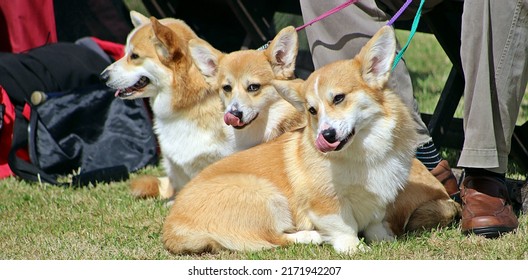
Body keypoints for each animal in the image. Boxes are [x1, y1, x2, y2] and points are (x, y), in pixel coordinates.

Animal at [163, 25, 460, 254]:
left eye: (338, 98)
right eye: (312, 110)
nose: (326, 135)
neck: (363, 153)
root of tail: (173, 227)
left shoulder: (380, 200)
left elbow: (376, 224)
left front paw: (385, 241)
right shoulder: (324, 204)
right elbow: (343, 225)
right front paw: (354, 247)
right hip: (266, 193)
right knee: (272, 239)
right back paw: (312, 237)